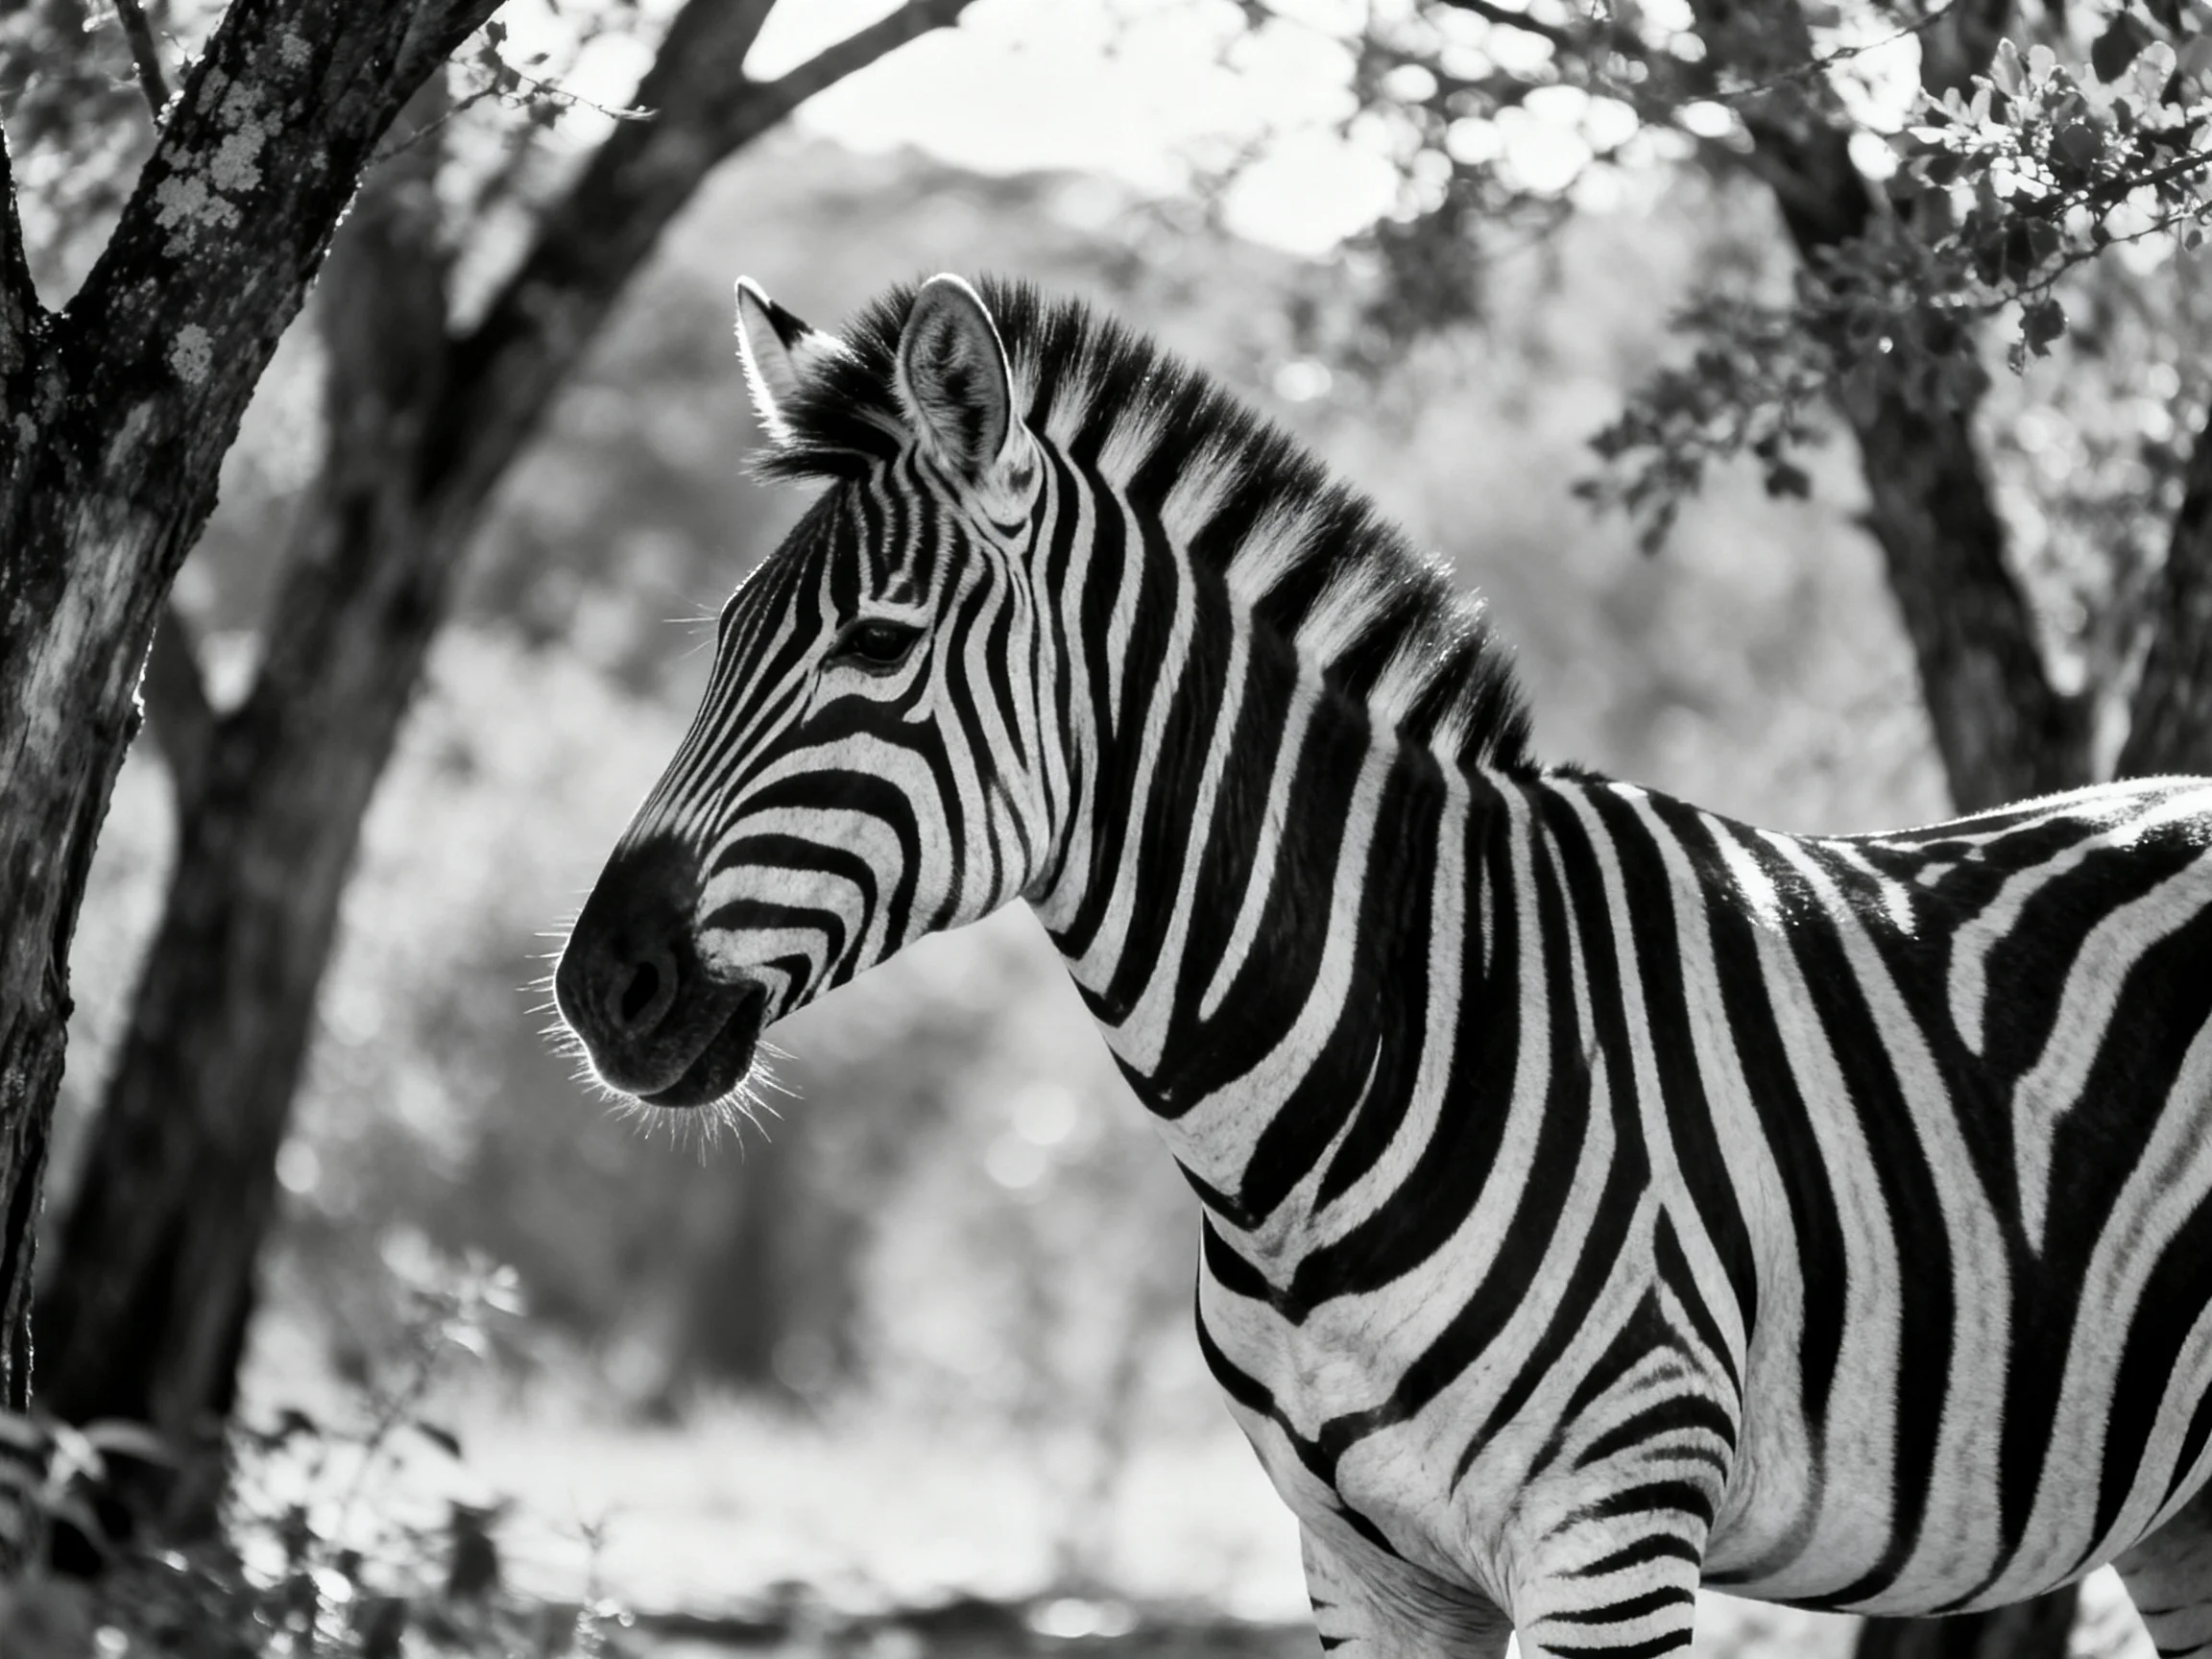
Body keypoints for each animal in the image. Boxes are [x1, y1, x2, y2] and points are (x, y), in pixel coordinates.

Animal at [555, 272, 2212, 1659]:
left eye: (879, 649)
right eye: (720, 643)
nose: (598, 989)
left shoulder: (1615, 1537)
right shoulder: (1360, 1566)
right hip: (2183, 1512)